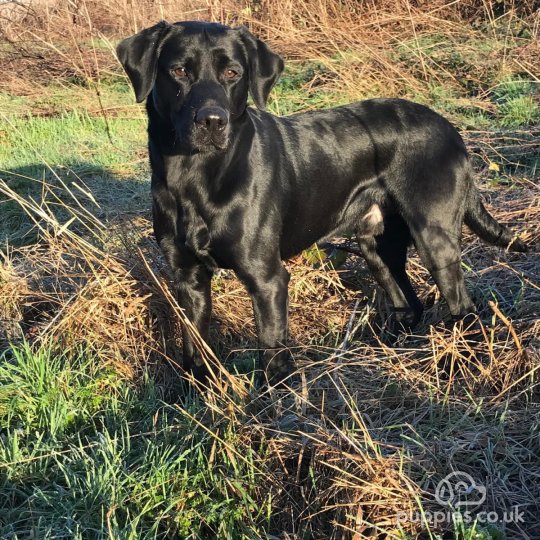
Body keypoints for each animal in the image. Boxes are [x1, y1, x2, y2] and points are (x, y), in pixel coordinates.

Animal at [116, 21, 524, 384]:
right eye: (178, 71)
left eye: (232, 72)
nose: (212, 121)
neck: (195, 175)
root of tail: (451, 129)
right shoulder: (188, 279)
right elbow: (194, 351)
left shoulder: (267, 279)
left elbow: (273, 358)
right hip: (376, 244)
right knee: (408, 303)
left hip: (434, 239)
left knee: (463, 307)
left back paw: (460, 362)